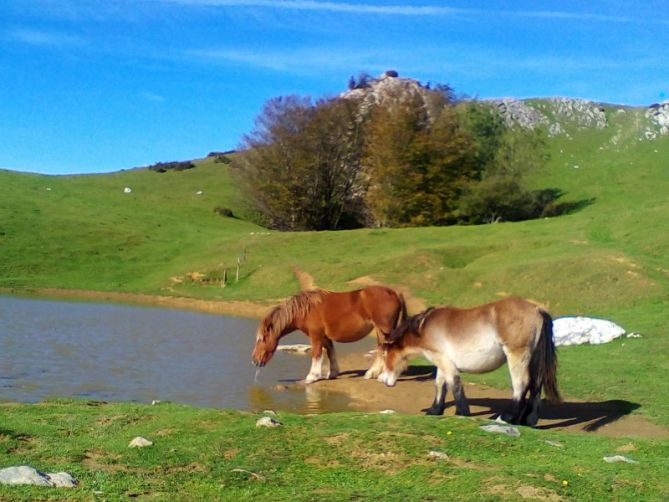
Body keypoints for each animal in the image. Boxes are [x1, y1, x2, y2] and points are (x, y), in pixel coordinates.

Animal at [252, 286, 404, 384]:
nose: (254, 360)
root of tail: (394, 292)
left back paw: (377, 374)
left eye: (262, 339)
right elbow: (330, 353)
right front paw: (332, 374)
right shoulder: (324, 337)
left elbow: (316, 354)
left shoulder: (315, 336)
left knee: (384, 349)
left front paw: (311, 377)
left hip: (383, 330)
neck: (306, 310)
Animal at [376, 296, 560, 426]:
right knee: (536, 385)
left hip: (517, 355)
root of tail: (537, 310)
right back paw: (527, 420)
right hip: (533, 358)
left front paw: (461, 413)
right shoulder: (442, 361)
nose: (382, 379)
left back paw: (505, 418)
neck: (423, 328)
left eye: (384, 354)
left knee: (521, 384)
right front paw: (434, 410)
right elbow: (440, 385)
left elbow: (454, 384)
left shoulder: (444, 362)